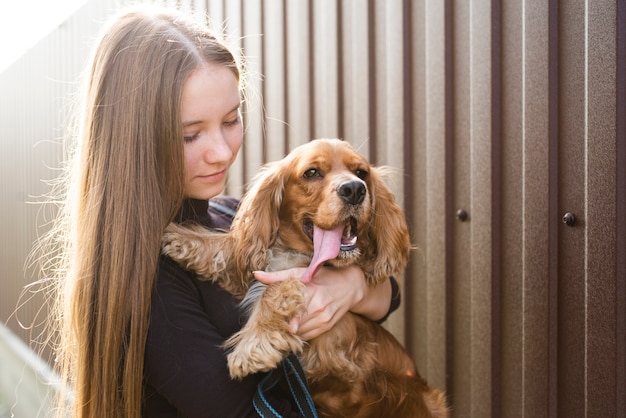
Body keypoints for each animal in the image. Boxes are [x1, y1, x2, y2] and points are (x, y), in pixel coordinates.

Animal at [160, 139, 444, 416]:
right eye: (312, 173)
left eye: (361, 172)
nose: (354, 189)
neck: (300, 255)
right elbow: (231, 248)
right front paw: (181, 237)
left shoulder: (335, 346)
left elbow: (277, 288)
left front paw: (254, 344)